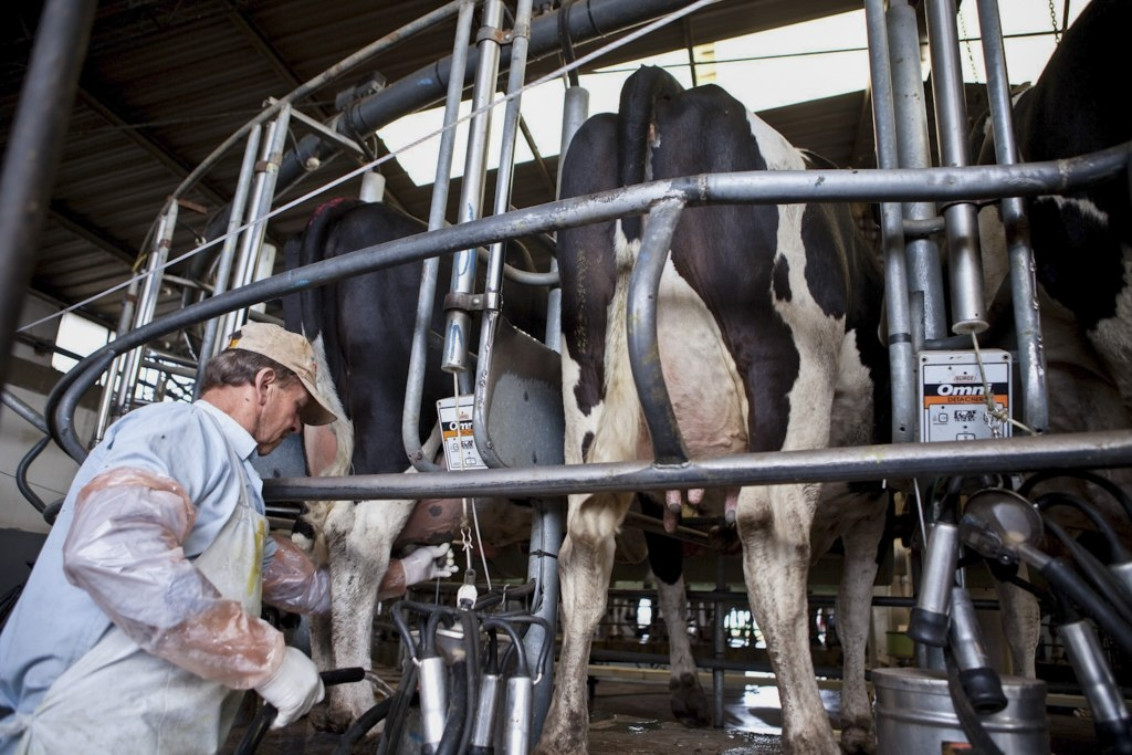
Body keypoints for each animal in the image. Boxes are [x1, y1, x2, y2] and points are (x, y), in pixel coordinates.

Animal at [538, 66, 892, 755]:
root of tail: (670, 89)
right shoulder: (874, 499)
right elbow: (856, 606)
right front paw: (861, 721)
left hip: (588, 387)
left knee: (587, 547)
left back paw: (565, 730)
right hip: (787, 370)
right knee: (772, 542)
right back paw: (811, 730)